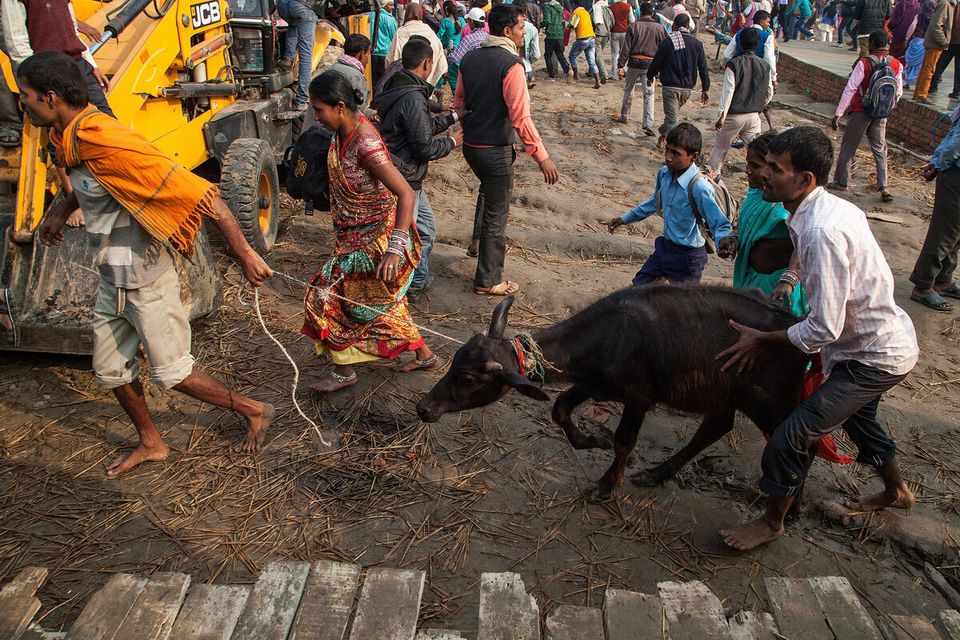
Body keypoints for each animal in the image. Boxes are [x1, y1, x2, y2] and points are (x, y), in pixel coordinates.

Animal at [416, 286, 812, 504]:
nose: (423, 408)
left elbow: (625, 441)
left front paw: (607, 484)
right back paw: (657, 473)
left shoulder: (638, 397)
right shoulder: (594, 384)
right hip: (724, 397)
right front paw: (594, 441)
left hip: (770, 404)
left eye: (467, 378)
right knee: (715, 428)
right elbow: (559, 409)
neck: (610, 334)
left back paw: (789, 511)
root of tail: (795, 329)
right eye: (455, 359)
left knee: (798, 447)